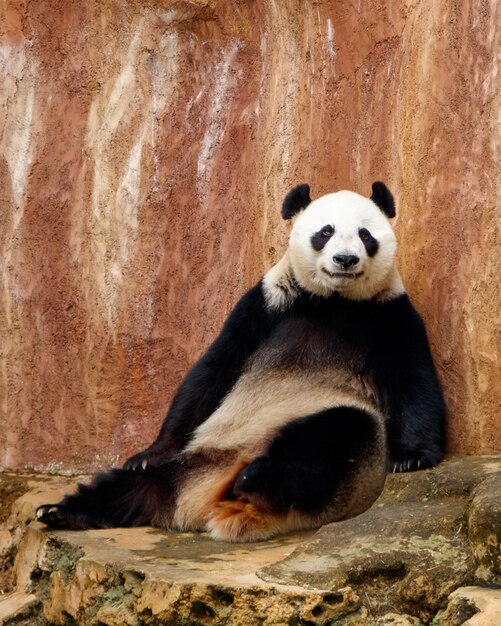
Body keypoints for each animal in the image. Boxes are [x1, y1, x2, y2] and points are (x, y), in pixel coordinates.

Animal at [37, 182, 444, 540]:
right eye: (325, 231)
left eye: (365, 234)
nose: (345, 259)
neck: (333, 302)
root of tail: (203, 501)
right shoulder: (267, 304)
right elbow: (211, 372)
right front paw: (149, 451)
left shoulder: (388, 313)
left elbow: (414, 382)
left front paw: (412, 457)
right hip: (190, 464)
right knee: (126, 486)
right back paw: (60, 511)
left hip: (329, 444)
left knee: (335, 436)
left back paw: (255, 478)